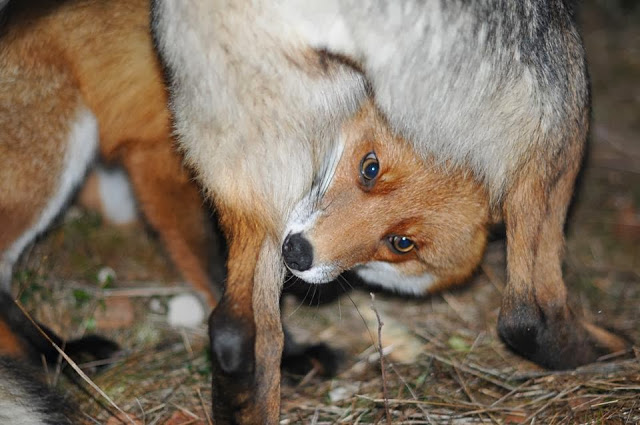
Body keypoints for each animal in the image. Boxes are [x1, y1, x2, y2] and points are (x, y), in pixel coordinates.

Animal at [152, 0, 632, 422]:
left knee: (238, 333)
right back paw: (610, 351)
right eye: (370, 167)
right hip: (559, 118)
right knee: (527, 314)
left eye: (401, 244)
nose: (298, 254)